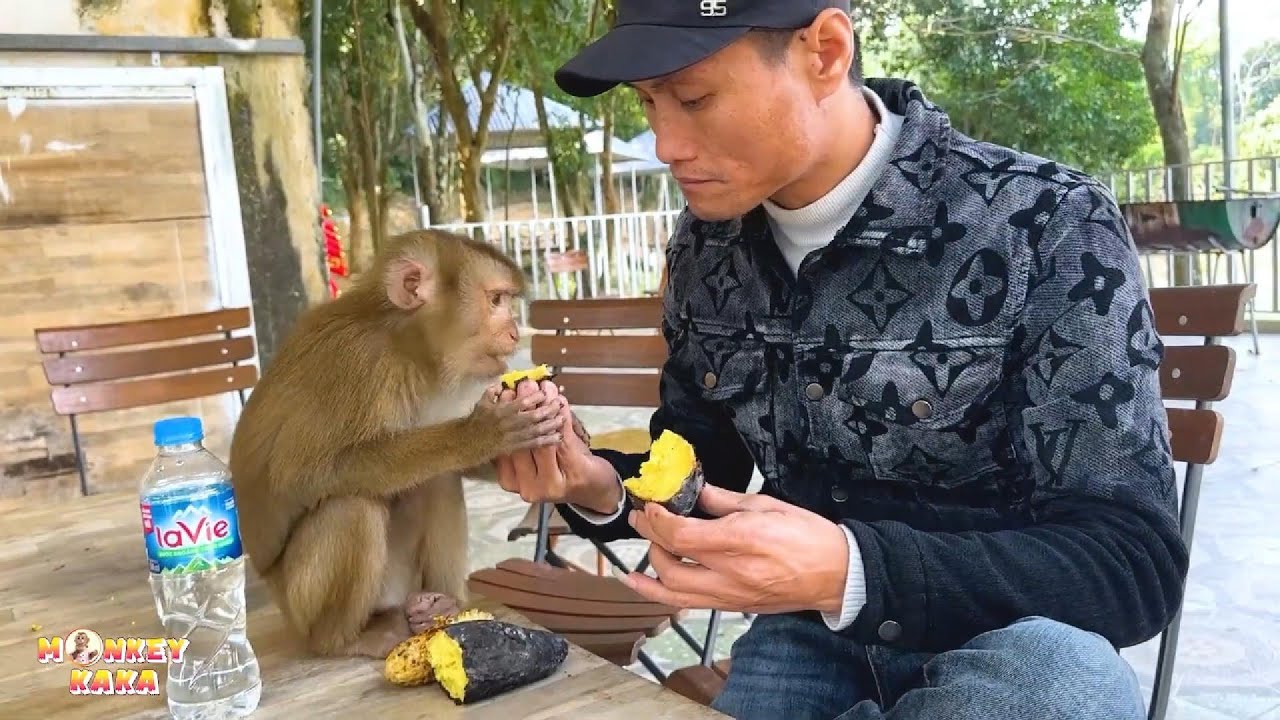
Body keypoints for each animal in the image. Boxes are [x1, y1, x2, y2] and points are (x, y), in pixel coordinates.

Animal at [228, 229, 567, 659]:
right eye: (495, 301)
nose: (513, 333)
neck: (402, 341)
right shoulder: (359, 364)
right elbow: (300, 474)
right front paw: (485, 433)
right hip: (301, 606)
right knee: (351, 507)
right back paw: (345, 638)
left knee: (436, 480)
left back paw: (443, 604)